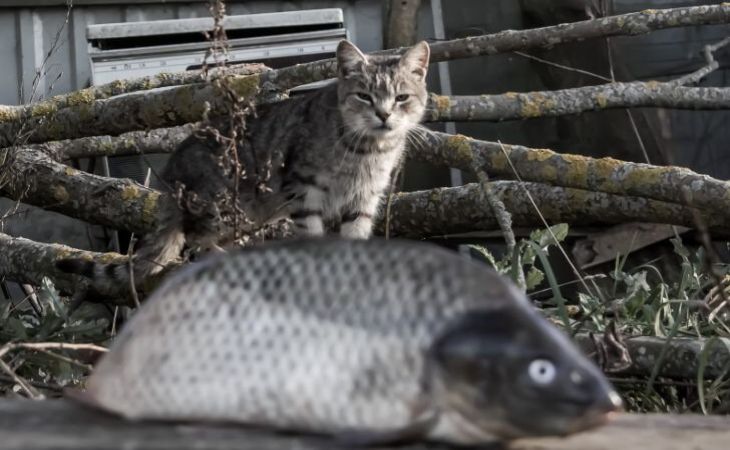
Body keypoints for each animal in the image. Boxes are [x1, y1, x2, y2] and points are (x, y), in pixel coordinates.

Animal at [58, 41, 432, 296]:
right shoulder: (304, 189)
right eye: (364, 96)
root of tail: (169, 177)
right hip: (224, 206)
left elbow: (354, 238)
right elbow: (312, 235)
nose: (383, 114)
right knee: (193, 243)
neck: (367, 150)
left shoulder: (364, 200)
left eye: (401, 98)